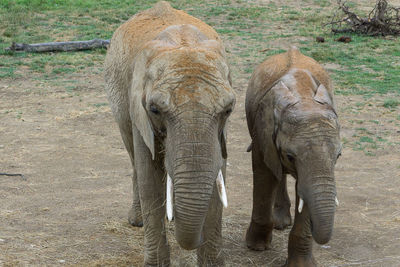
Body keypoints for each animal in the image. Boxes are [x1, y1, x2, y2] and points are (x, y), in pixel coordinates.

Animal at [104, 1, 234, 266]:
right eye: (155, 109)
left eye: (228, 110)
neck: (184, 43)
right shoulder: (139, 110)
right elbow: (150, 179)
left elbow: (218, 180)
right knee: (132, 155)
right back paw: (138, 220)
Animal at [245, 47, 342, 266]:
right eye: (290, 156)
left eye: (338, 156)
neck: (304, 97)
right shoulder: (263, 130)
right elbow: (264, 174)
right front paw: (256, 247)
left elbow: (304, 191)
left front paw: (302, 264)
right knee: (275, 172)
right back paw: (280, 223)